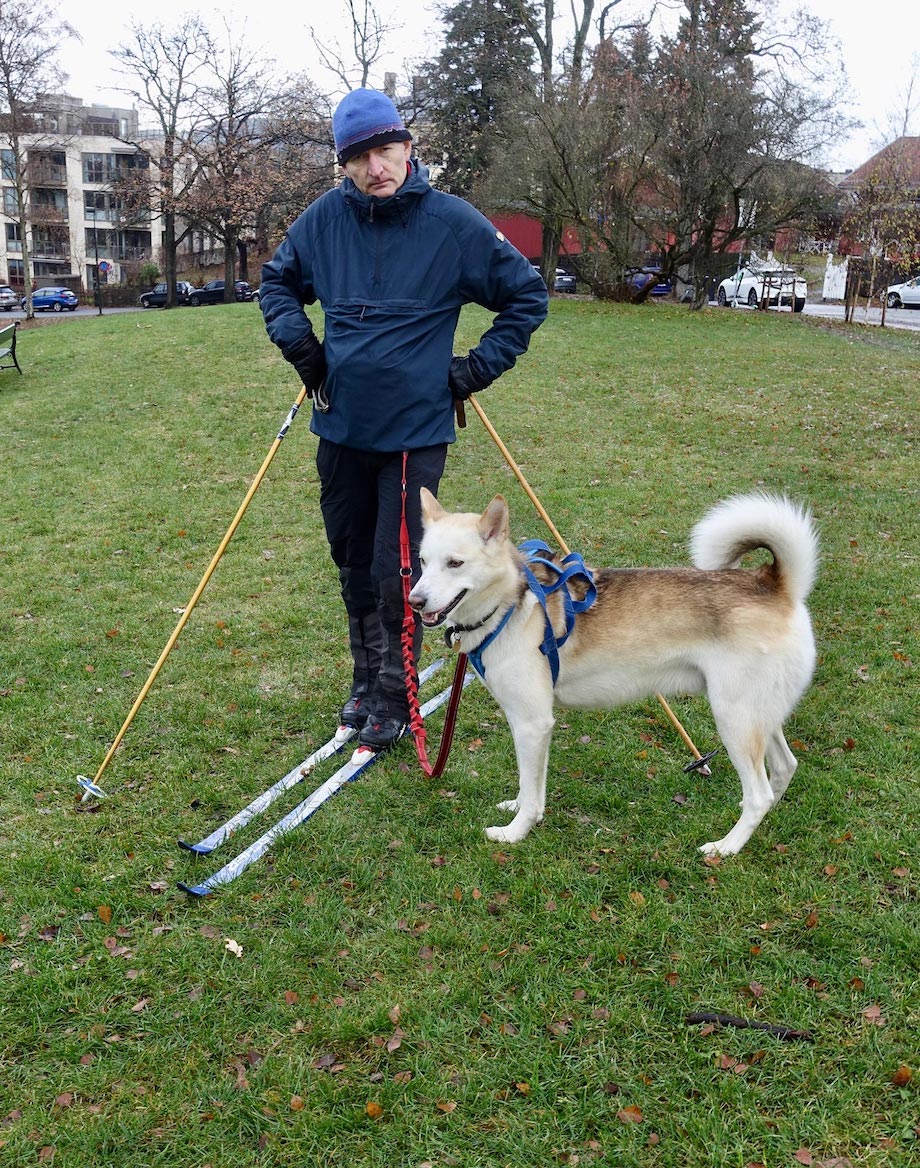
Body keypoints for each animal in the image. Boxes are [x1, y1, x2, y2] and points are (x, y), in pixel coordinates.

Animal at [408, 488, 817, 854]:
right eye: (423, 562)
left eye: (455, 563)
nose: (415, 601)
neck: (511, 602)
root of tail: (773, 584)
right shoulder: (531, 725)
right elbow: (531, 785)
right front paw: (520, 808)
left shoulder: (532, 722)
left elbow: (531, 789)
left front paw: (515, 832)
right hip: (759, 717)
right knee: (783, 770)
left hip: (734, 719)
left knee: (760, 793)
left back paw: (726, 847)